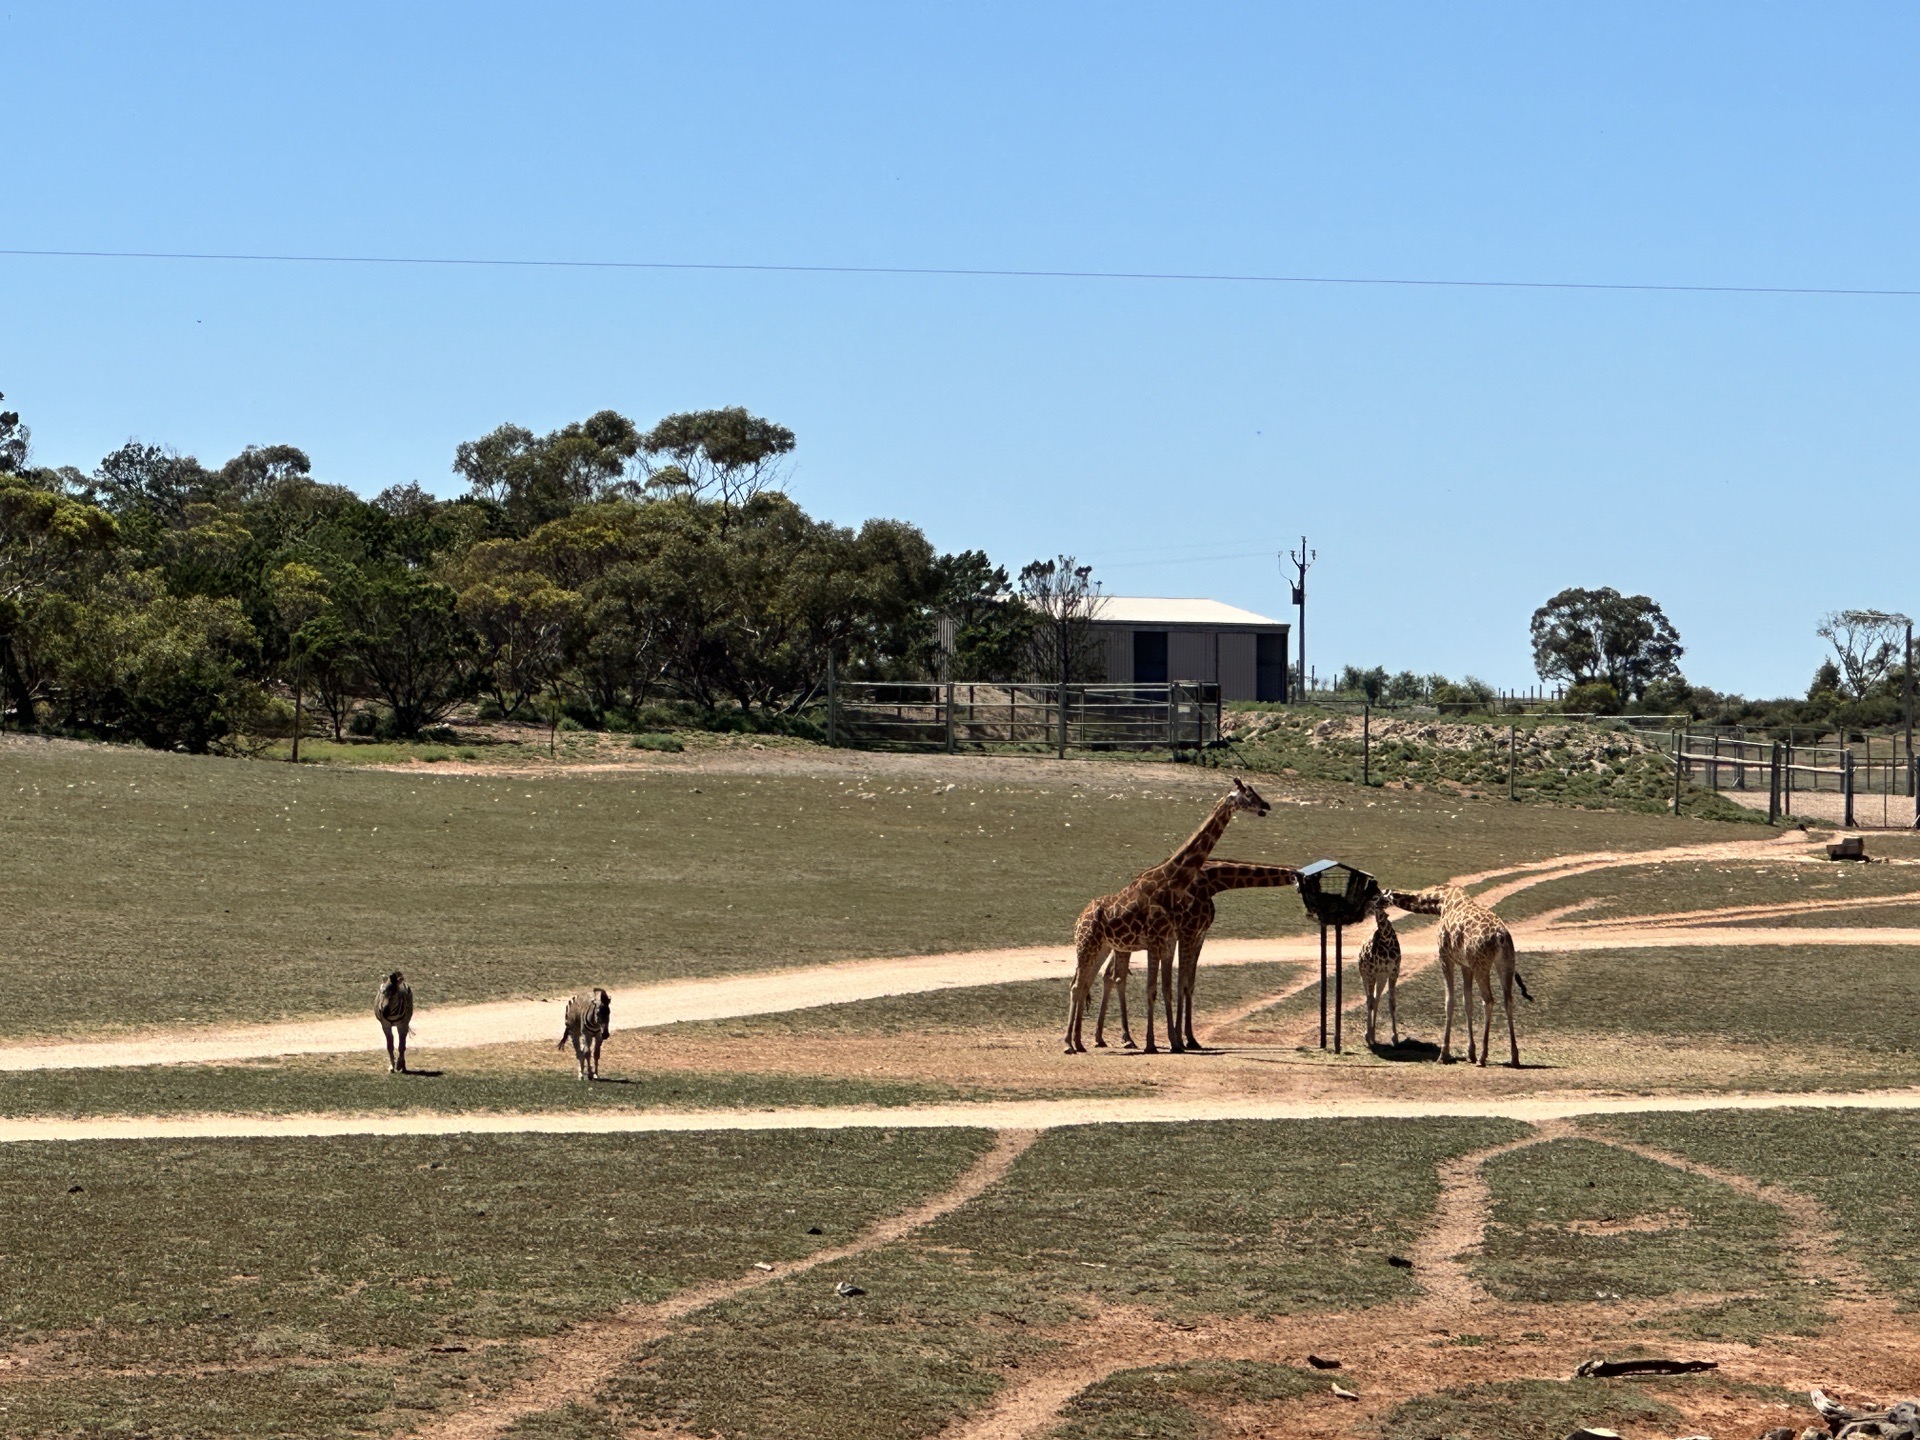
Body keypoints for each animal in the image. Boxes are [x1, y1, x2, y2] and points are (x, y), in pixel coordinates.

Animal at [1067, 779, 1274, 1059]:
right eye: (1249, 795)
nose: (1267, 805)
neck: (1170, 882)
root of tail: (1080, 918)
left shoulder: (1167, 942)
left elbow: (1168, 988)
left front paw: (1175, 1042)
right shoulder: (1159, 942)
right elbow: (1153, 989)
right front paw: (1153, 1044)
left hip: (1101, 947)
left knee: (1085, 983)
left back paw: (1080, 1043)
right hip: (1087, 945)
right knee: (1078, 985)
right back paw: (1070, 1043)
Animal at [1359, 890, 1405, 1052]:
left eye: (1383, 895)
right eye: (1374, 897)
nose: (1382, 903)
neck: (1386, 939)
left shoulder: (1393, 971)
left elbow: (1392, 1003)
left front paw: (1395, 1038)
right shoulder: (1372, 972)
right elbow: (1370, 1002)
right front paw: (1368, 1036)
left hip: (1381, 977)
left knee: (1376, 999)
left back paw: (1373, 1034)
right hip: (1365, 975)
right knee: (1369, 999)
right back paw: (1369, 1035)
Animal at [1382, 887, 1528, 1067]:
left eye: (1380, 896)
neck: (1440, 902)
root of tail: (1500, 936)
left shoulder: (1445, 957)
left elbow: (1449, 1002)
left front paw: (1444, 1054)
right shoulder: (1466, 965)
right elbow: (1467, 1002)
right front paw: (1470, 1053)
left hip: (1482, 965)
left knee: (1488, 1000)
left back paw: (1483, 1057)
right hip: (1506, 963)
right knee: (1508, 1000)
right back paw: (1514, 1057)